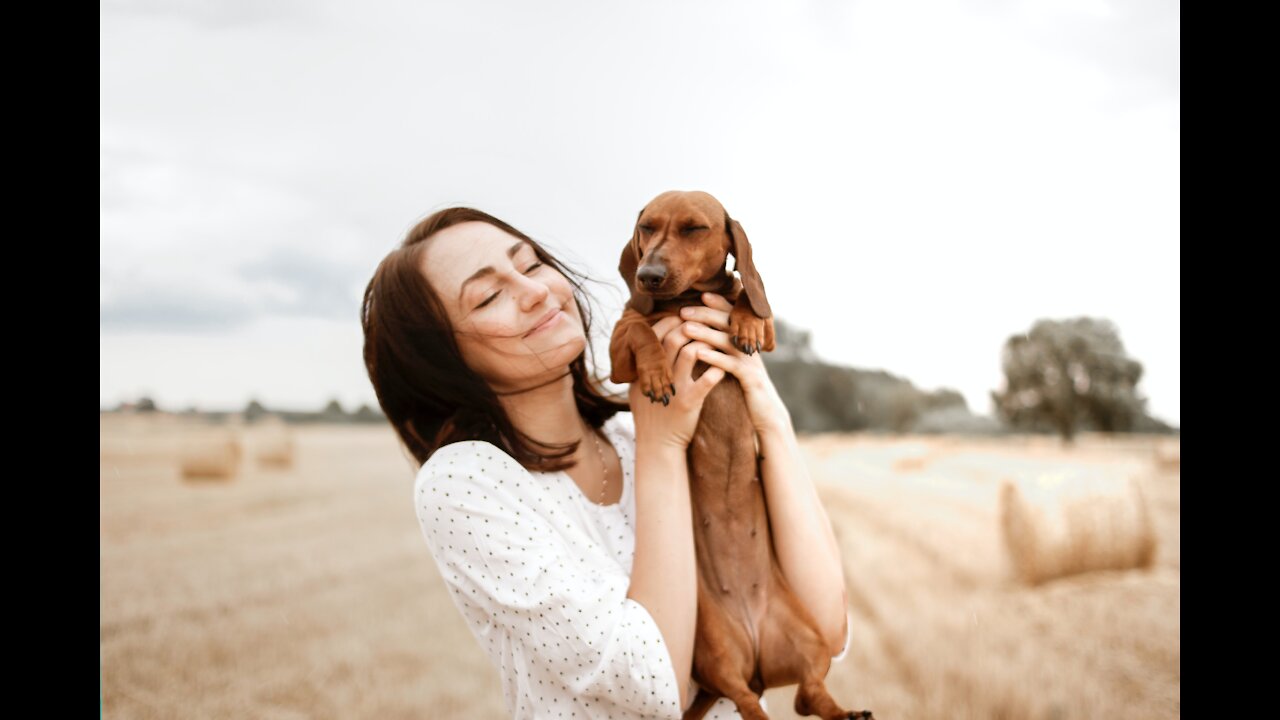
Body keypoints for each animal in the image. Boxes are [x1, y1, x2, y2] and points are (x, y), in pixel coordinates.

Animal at [606, 190, 870, 717]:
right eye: (647, 227)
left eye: (694, 228)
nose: (648, 275)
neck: (684, 300)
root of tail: (757, 652)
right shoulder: (617, 357)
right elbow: (641, 331)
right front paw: (658, 373)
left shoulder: (768, 334)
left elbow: (749, 299)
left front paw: (743, 321)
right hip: (716, 650)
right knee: (752, 700)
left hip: (811, 642)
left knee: (809, 695)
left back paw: (846, 711)